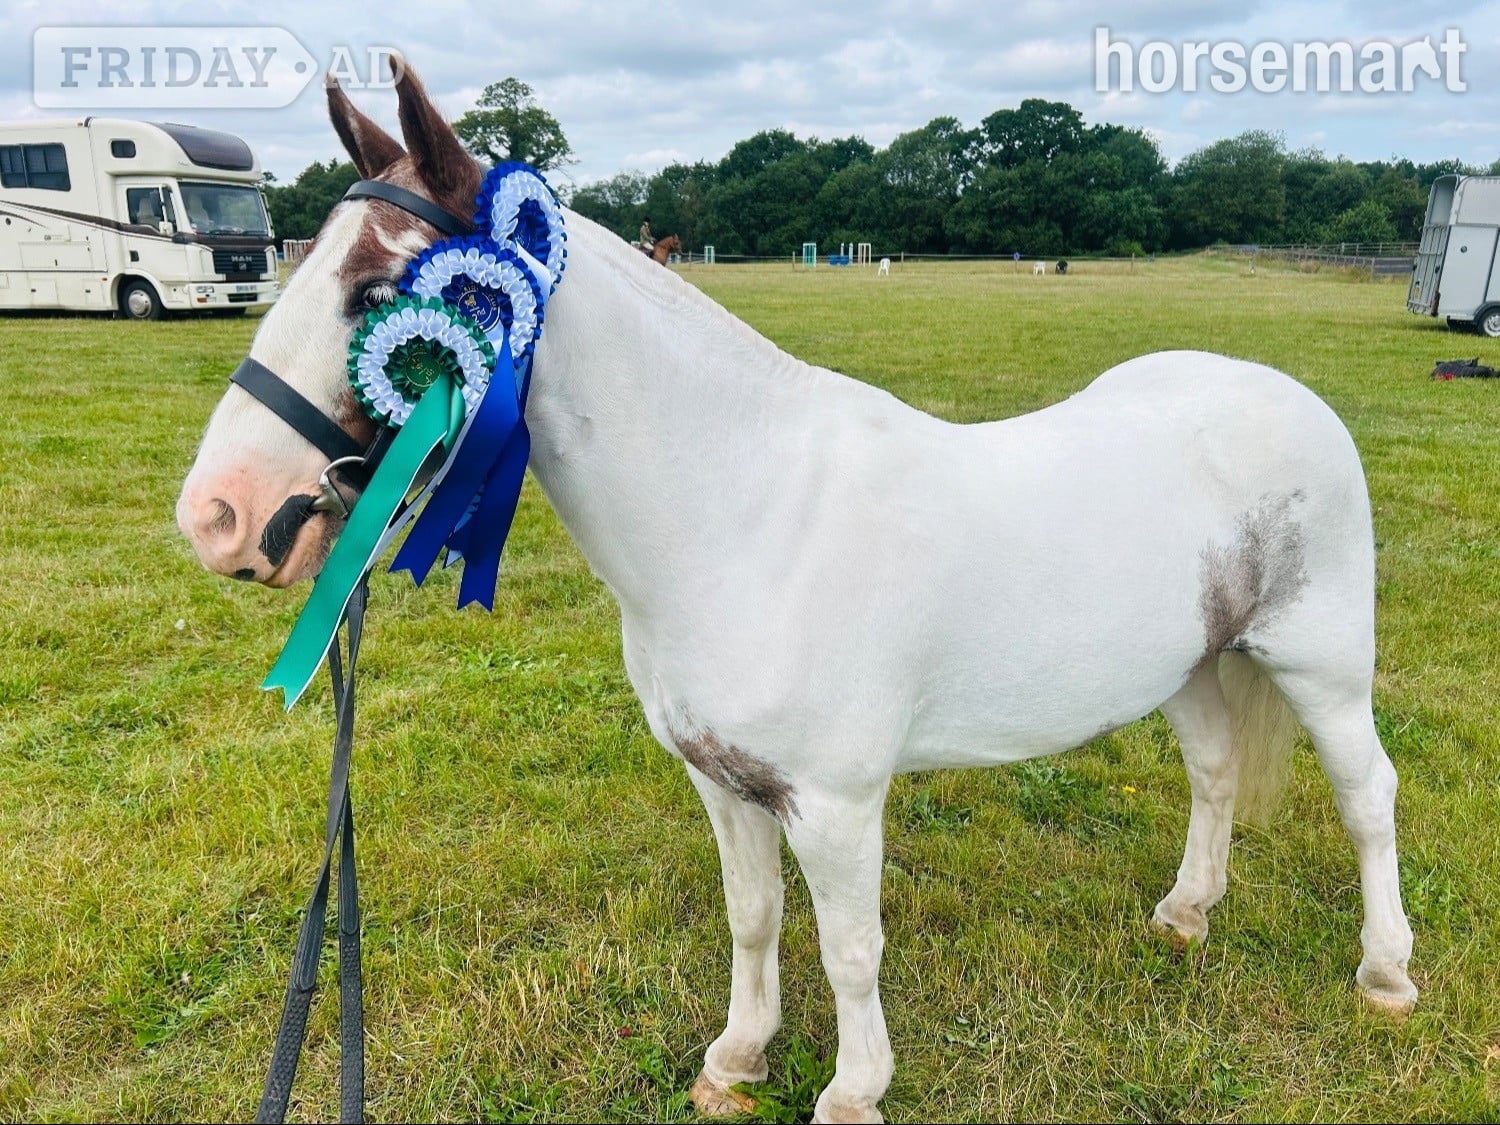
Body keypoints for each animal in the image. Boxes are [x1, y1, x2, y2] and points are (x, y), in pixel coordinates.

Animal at [177, 62, 1418, 1124]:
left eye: (375, 293)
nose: (220, 516)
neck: (748, 519)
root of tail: (1282, 394)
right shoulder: (725, 783)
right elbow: (755, 918)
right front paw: (735, 1062)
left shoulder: (835, 801)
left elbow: (850, 947)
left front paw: (853, 1091)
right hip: (1199, 660)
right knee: (1215, 775)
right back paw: (1185, 918)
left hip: (1318, 665)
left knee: (1368, 797)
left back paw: (1387, 973)